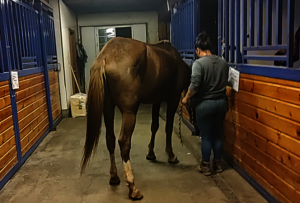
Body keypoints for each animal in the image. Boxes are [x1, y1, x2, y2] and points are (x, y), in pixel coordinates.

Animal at [80, 36, 192, 200]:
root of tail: (105, 57)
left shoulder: (157, 100)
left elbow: (154, 126)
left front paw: (151, 154)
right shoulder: (172, 99)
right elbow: (168, 127)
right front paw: (171, 155)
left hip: (108, 109)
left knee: (110, 139)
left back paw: (114, 177)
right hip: (129, 112)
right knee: (124, 142)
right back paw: (132, 187)